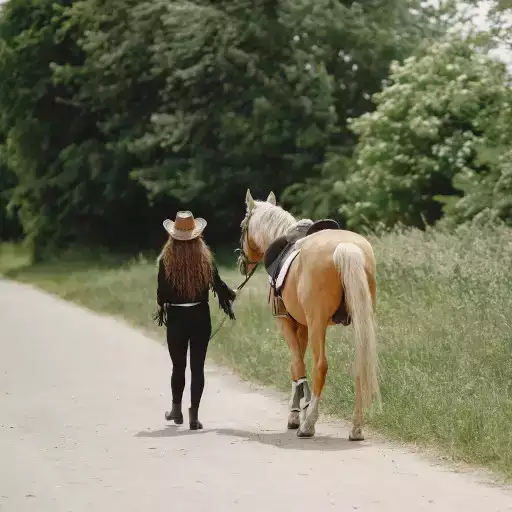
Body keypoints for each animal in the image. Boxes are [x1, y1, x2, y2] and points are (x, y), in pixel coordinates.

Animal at [237, 190, 380, 438]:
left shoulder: (286, 322)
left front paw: (297, 415)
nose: (242, 263)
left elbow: (297, 365)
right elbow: (299, 365)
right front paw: (298, 410)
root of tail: (346, 247)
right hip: (360, 320)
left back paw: (309, 423)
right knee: (360, 364)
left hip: (317, 323)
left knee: (320, 365)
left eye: (242, 226)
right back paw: (356, 427)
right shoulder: (302, 325)